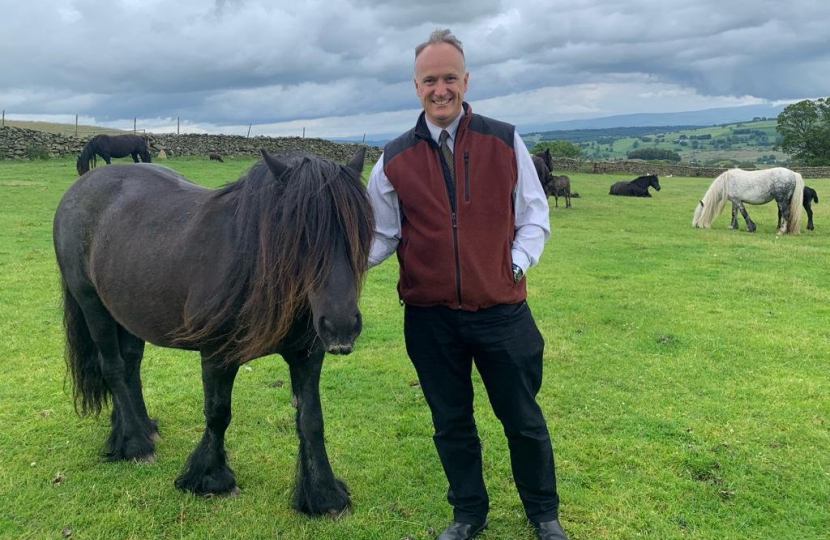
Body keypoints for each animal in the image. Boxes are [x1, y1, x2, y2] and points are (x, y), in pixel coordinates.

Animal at [54, 147, 374, 516]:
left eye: (359, 232)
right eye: (300, 232)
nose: (341, 325)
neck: (253, 265)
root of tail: (79, 187)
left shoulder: (307, 355)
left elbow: (311, 420)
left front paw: (324, 495)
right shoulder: (217, 355)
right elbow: (219, 414)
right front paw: (211, 478)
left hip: (126, 311)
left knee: (130, 365)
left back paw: (138, 427)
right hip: (92, 305)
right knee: (114, 368)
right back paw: (135, 443)